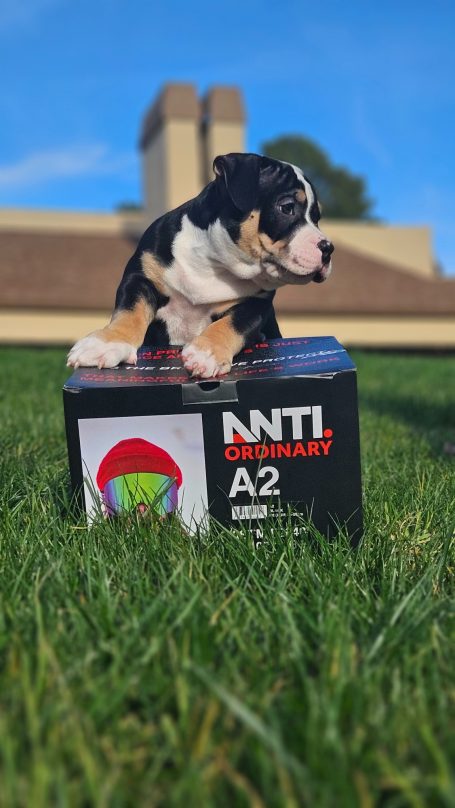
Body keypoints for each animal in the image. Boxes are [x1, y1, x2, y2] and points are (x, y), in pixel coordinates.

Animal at [69, 153, 336, 378]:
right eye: (287, 208)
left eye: (317, 218)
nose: (328, 248)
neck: (215, 263)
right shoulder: (140, 277)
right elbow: (129, 311)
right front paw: (106, 343)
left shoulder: (258, 304)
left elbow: (234, 322)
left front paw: (206, 353)